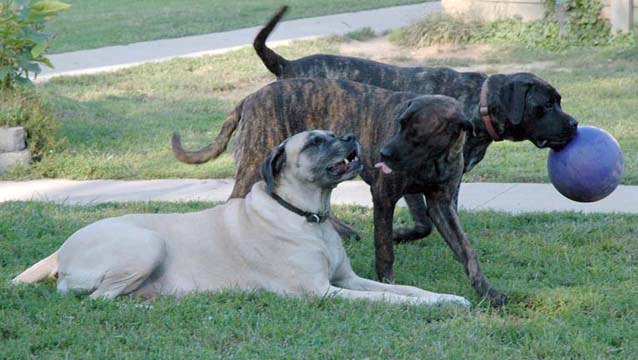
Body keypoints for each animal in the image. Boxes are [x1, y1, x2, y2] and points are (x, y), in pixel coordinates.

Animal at [172, 79, 512, 304]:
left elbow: (466, 250)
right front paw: (388, 279)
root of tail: (249, 98)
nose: (383, 153)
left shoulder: (442, 203)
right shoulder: (384, 197)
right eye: (400, 124)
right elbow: (385, 250)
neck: (433, 160)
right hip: (254, 163)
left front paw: (487, 290)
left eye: (417, 132)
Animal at [254, 5, 580, 243]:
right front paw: (401, 235)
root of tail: (287, 65)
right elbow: (423, 222)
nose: (575, 124)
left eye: (559, 100)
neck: (478, 102)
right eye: (546, 105)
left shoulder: (449, 182)